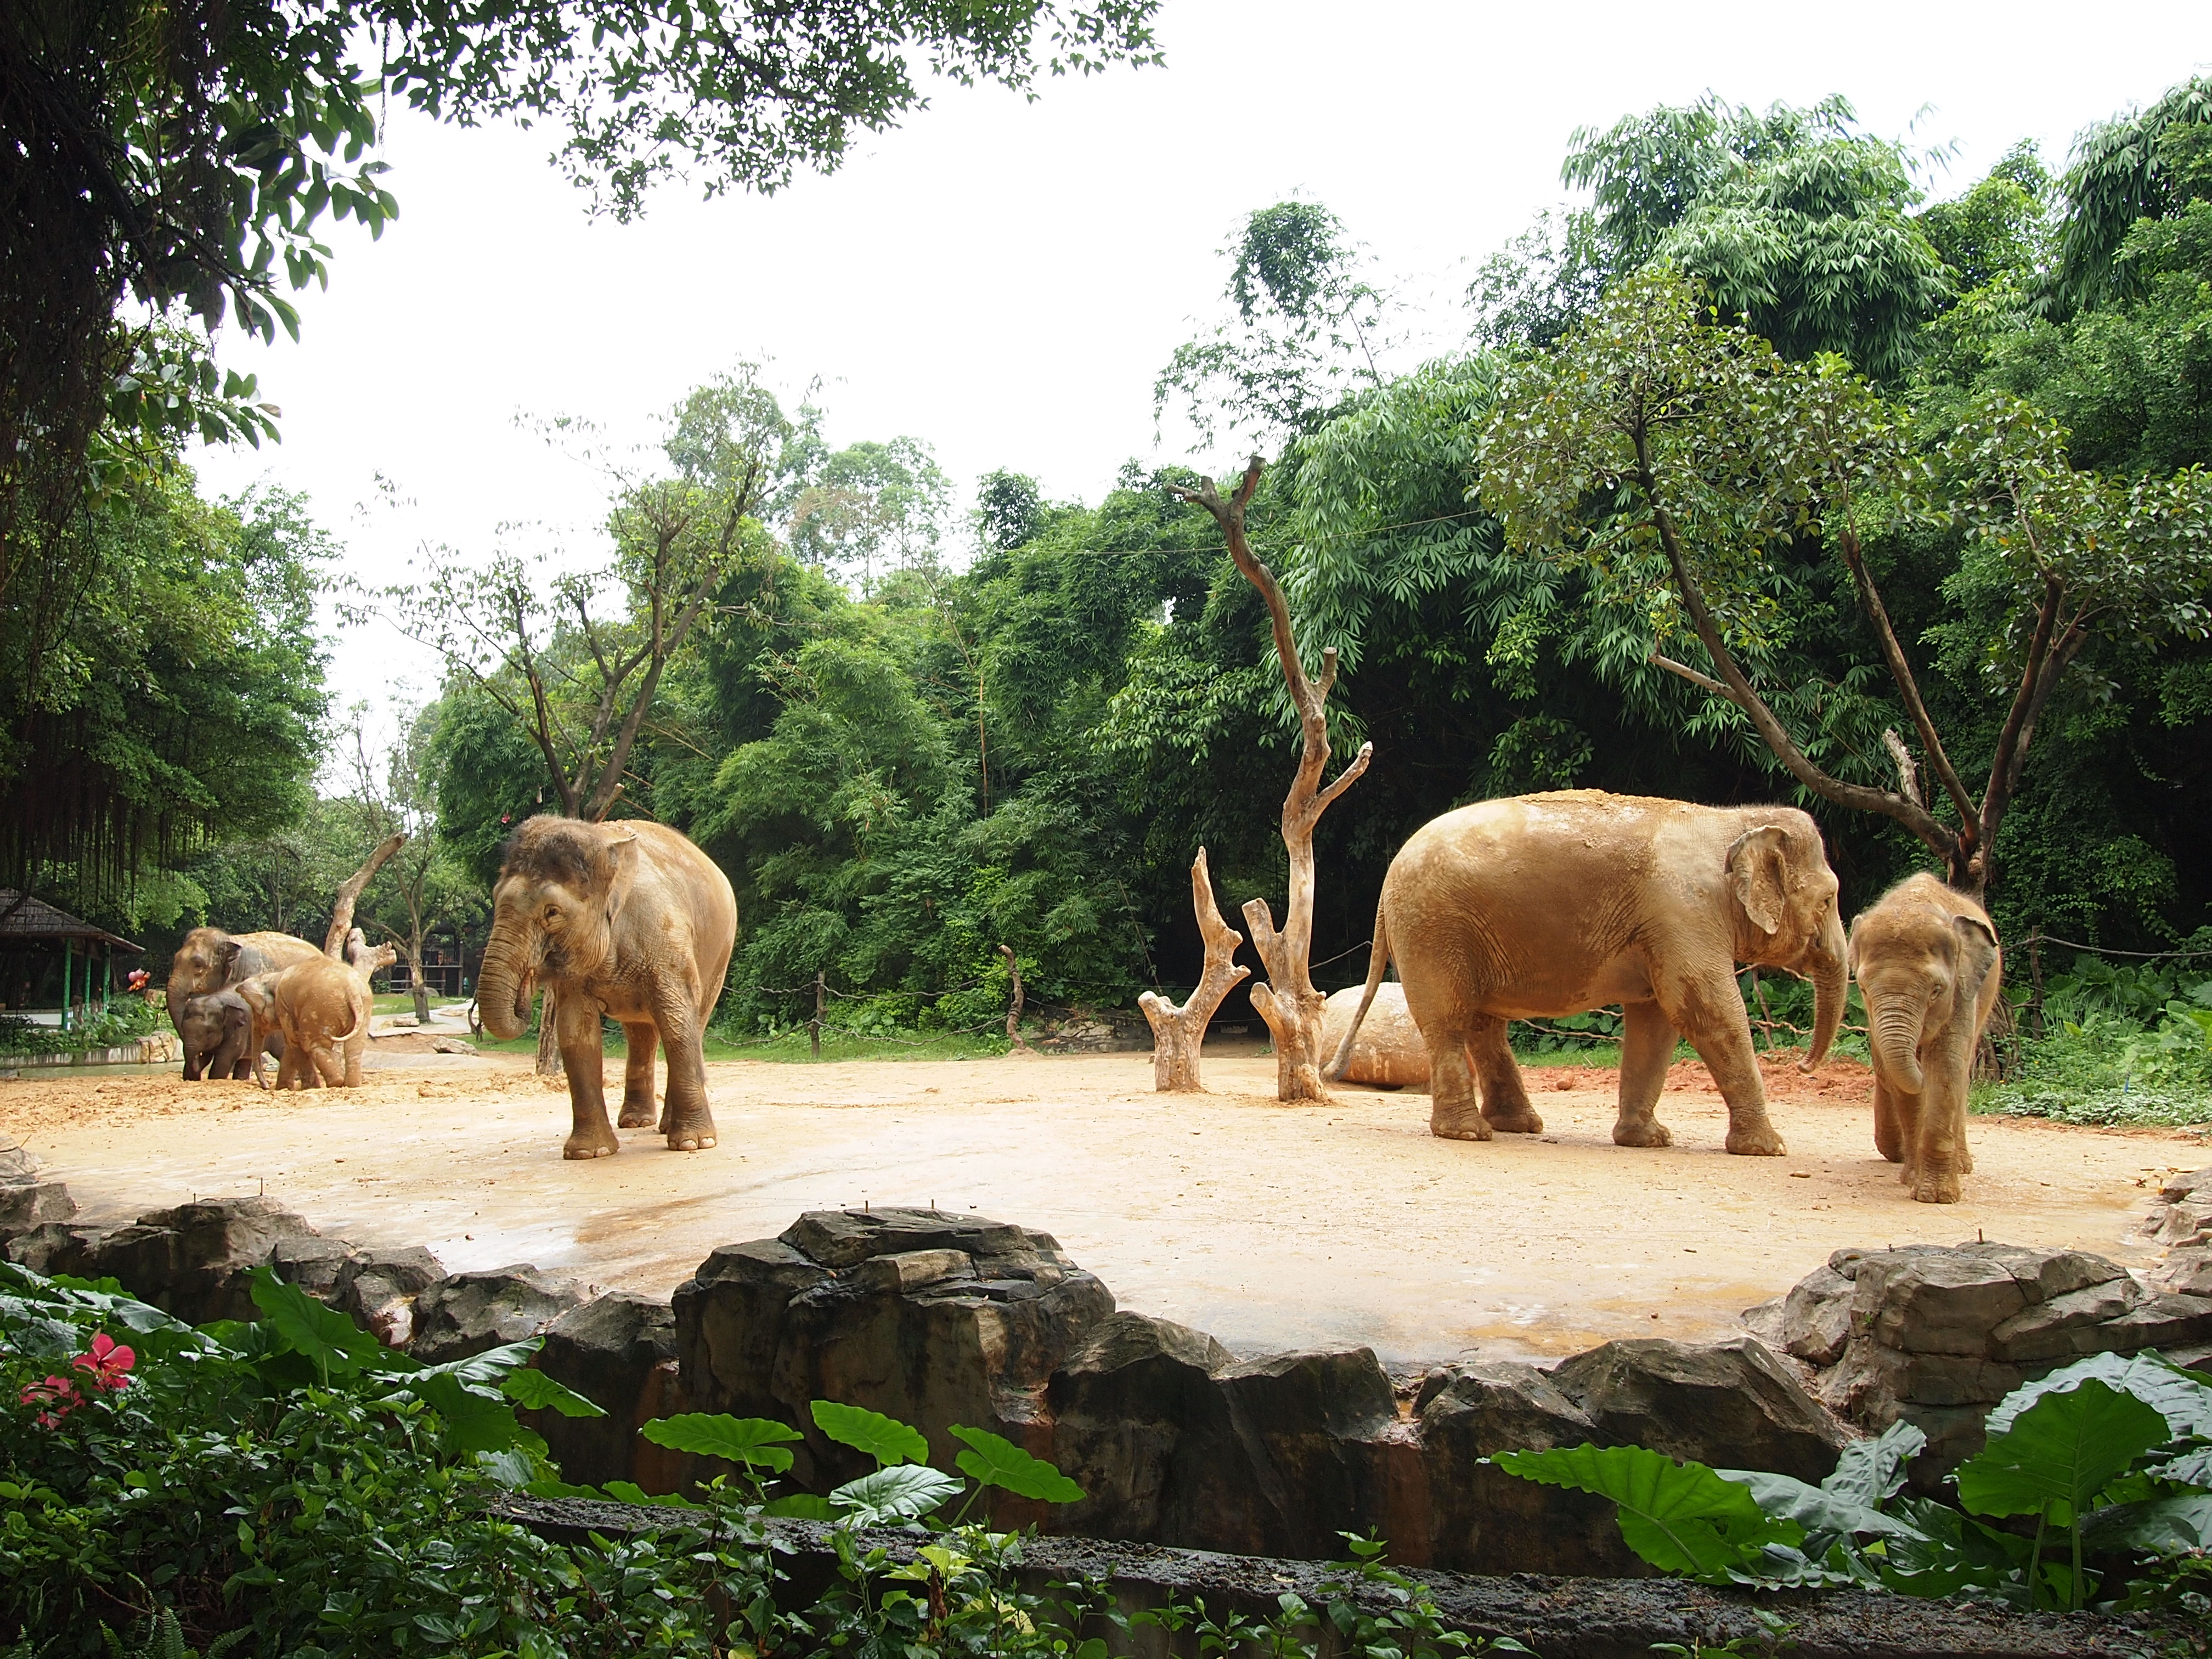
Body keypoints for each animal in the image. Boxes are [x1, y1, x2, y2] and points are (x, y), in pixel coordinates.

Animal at [473, 814, 734, 1159]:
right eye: (495, 899)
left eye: (552, 912)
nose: (527, 989)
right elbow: (575, 1033)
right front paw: (588, 1153)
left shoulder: (668, 943)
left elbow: (677, 1024)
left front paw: (695, 1144)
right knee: (641, 1033)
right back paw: (636, 1123)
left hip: (719, 954)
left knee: (693, 1022)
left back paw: (665, 1127)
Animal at [1327, 792, 1849, 1159]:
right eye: (1827, 900)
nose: (1803, 1067)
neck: (1736, 822)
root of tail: (1389, 879)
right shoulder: (1684, 913)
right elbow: (1705, 1011)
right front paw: (1770, 1149)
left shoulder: (1668, 924)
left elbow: (1657, 1021)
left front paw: (1648, 1140)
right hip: (1435, 930)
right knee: (1451, 1022)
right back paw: (1470, 1134)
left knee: (1482, 1024)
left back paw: (1518, 1126)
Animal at [1849, 871, 2008, 1212]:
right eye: (1863, 988)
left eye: (1936, 990)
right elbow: (1899, 1080)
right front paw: (1911, 1180)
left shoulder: (1962, 990)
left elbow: (1947, 1067)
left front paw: (1937, 1198)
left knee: (1962, 1074)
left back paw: (1963, 1166)